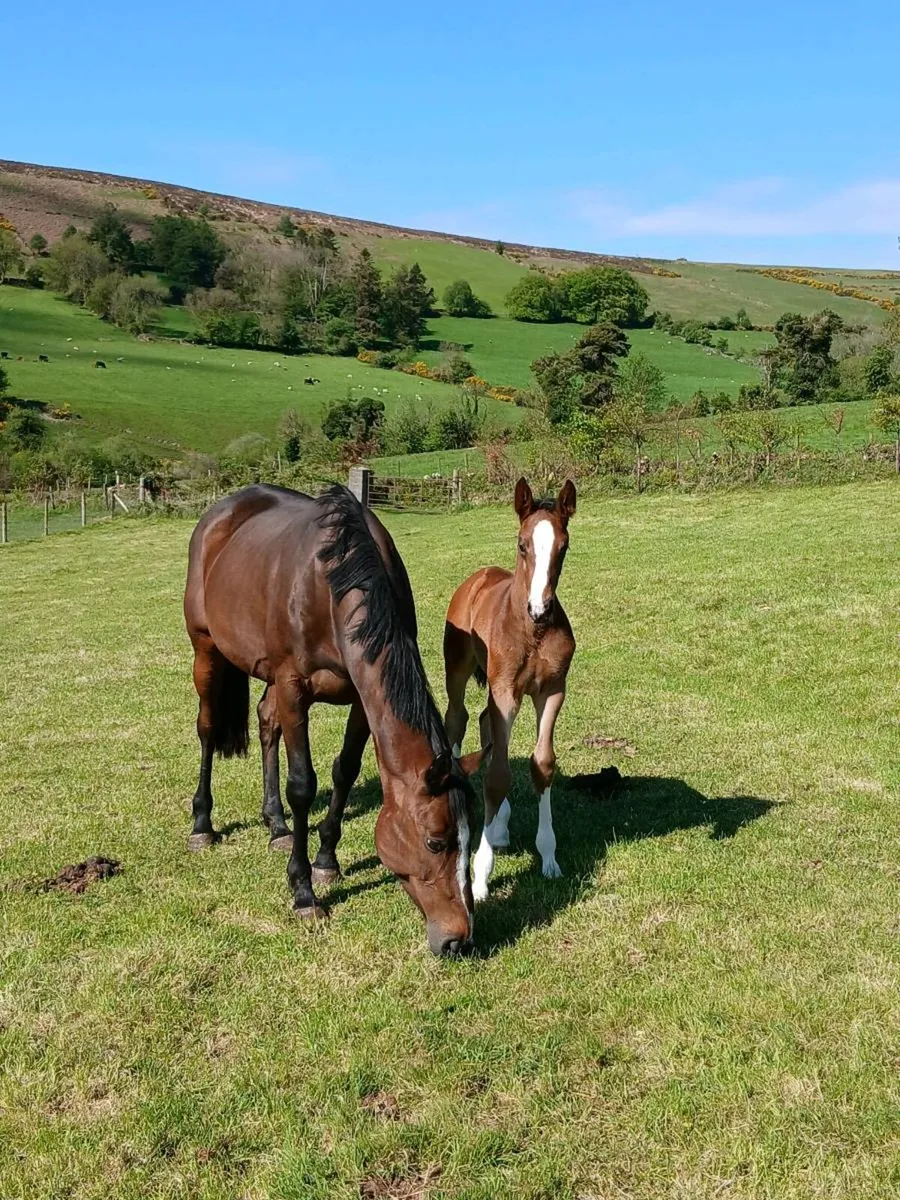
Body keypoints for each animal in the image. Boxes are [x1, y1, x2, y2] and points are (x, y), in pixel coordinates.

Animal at [183, 483, 484, 956]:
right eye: (435, 841)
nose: (458, 939)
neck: (334, 584)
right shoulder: (293, 686)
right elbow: (303, 785)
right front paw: (304, 891)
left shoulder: (361, 696)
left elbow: (345, 770)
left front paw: (326, 860)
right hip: (206, 650)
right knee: (209, 728)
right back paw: (202, 825)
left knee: (266, 722)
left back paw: (277, 825)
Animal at [443, 477, 576, 901]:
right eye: (522, 544)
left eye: (563, 546)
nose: (541, 608)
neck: (530, 631)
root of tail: (478, 575)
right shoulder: (504, 691)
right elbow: (498, 776)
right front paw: (481, 876)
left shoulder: (551, 691)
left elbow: (542, 764)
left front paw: (548, 856)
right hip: (458, 671)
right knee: (458, 718)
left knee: (485, 722)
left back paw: (499, 824)